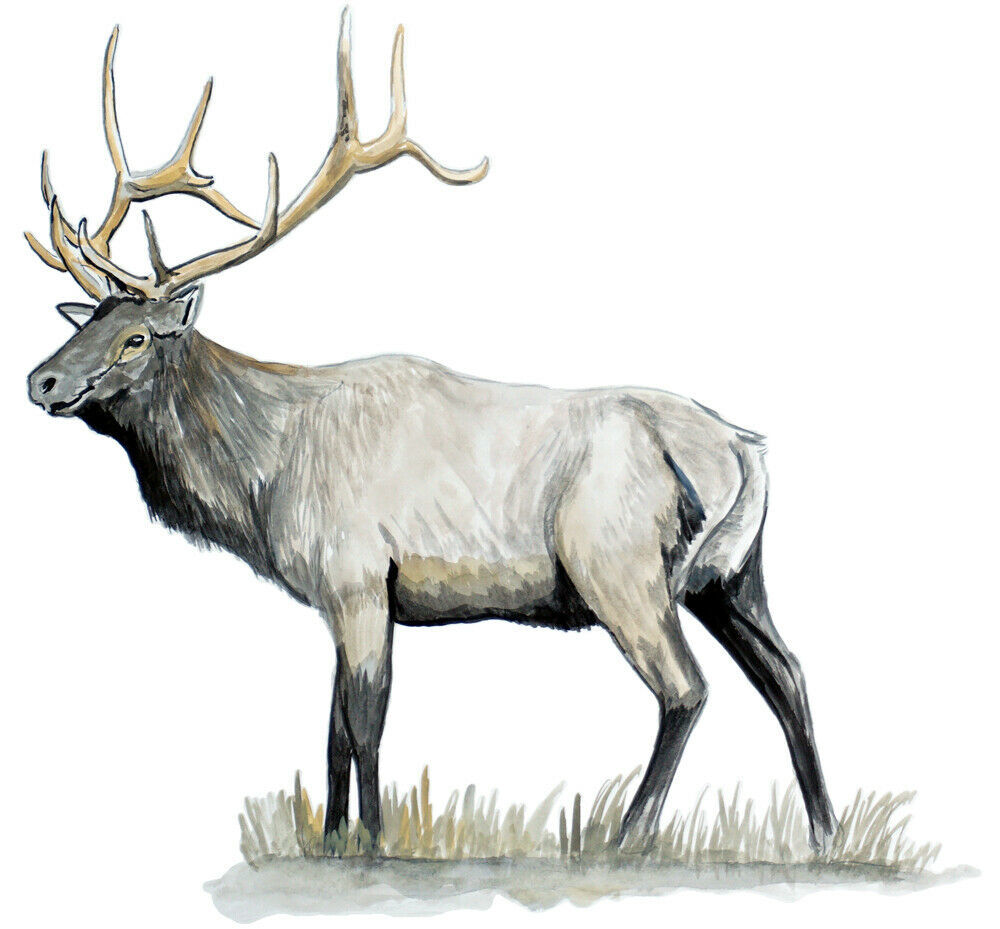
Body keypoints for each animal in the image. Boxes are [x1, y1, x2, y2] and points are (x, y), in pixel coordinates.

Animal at [25, 9, 838, 855]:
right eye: (86, 320)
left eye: (136, 338)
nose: (40, 380)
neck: (264, 476)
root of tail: (744, 448)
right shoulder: (339, 593)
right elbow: (332, 734)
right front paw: (330, 842)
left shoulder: (356, 575)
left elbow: (365, 724)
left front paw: (377, 844)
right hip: (730, 576)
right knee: (788, 672)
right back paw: (823, 833)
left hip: (617, 560)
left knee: (686, 688)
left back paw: (628, 836)